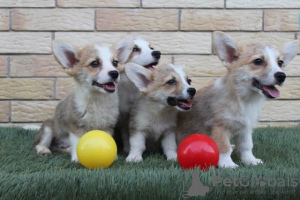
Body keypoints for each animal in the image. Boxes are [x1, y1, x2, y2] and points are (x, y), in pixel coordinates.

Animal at [176, 31, 298, 169]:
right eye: (258, 61)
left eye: (280, 62)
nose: (282, 76)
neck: (244, 100)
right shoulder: (220, 126)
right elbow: (224, 147)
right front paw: (227, 164)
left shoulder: (245, 128)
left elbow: (247, 146)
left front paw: (250, 160)